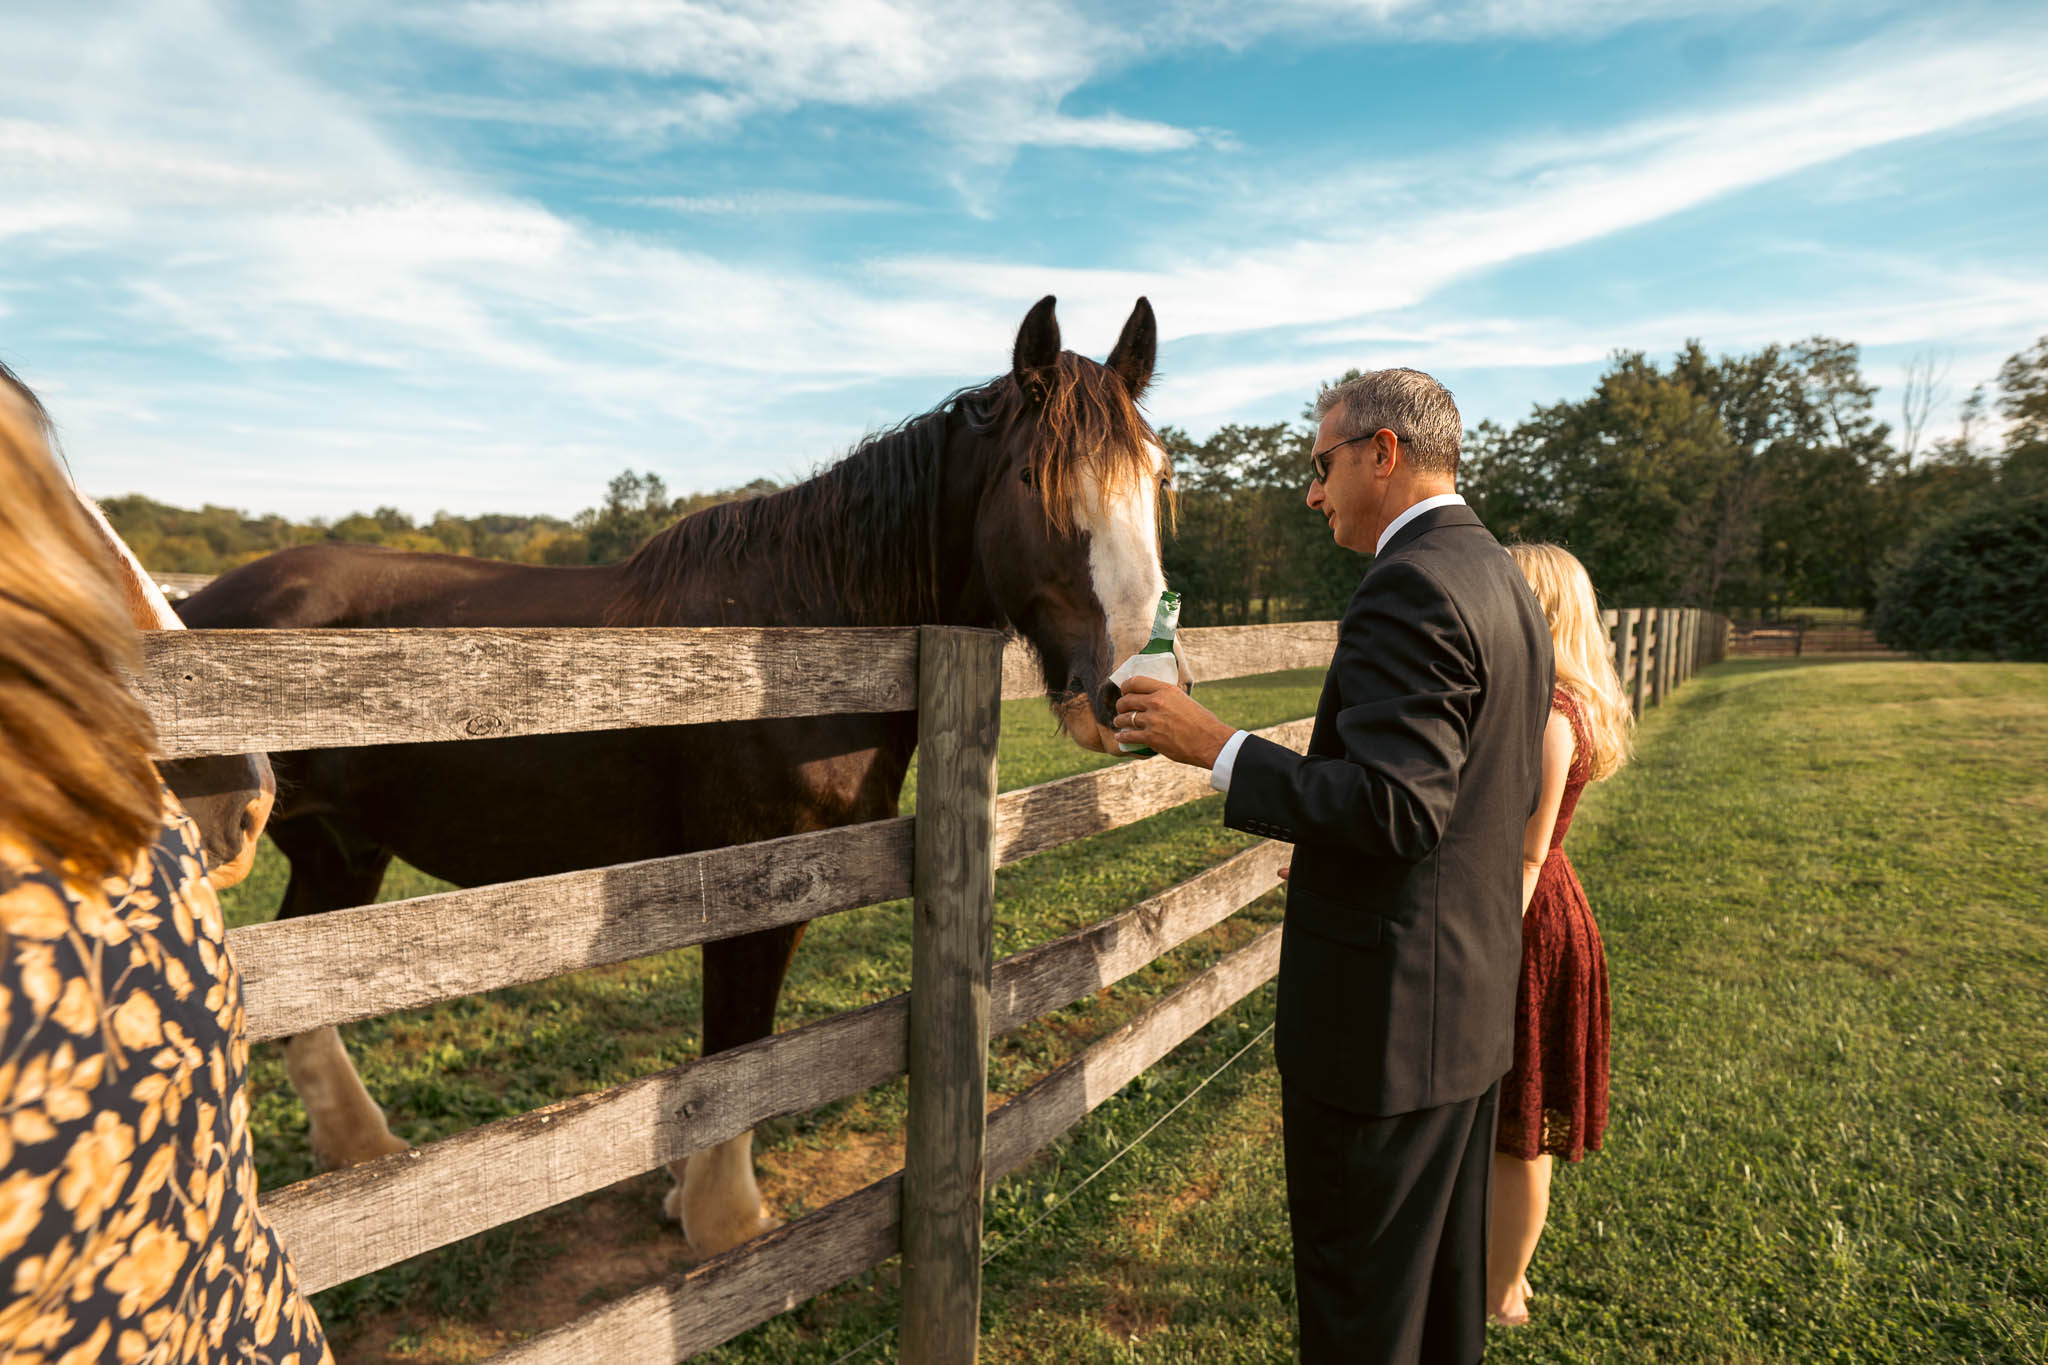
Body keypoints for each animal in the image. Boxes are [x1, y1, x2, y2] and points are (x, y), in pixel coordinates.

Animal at [176, 295, 1186, 1256]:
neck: (796, 638)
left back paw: (360, 1150)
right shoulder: (755, 884)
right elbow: (738, 1051)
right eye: (1033, 481)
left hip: (342, 848)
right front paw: (724, 1222)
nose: (1132, 686)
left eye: (1159, 477)